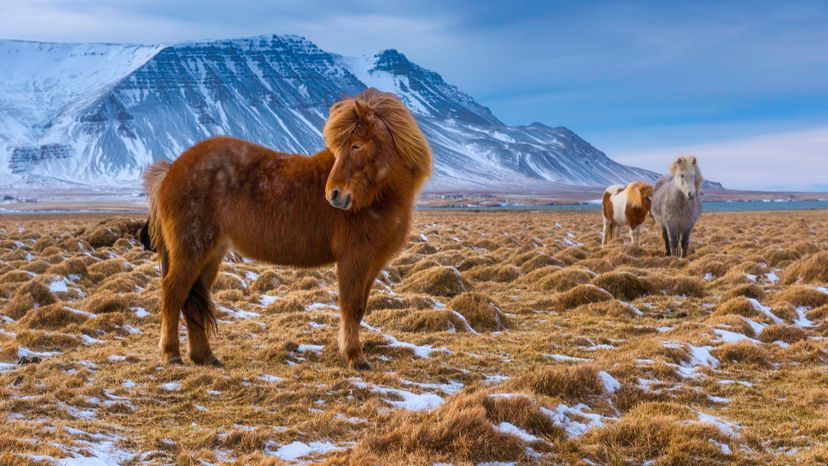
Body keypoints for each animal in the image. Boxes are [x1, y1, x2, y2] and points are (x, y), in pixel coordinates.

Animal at [142, 89, 434, 370]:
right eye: (341, 148)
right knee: (173, 292)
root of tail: (172, 169)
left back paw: (205, 357)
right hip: (190, 251)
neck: (379, 197)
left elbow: (360, 308)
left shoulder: (373, 263)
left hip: (210, 255)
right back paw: (171, 355)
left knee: (193, 299)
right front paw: (355, 358)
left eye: (356, 145)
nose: (334, 195)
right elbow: (350, 307)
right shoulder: (354, 258)